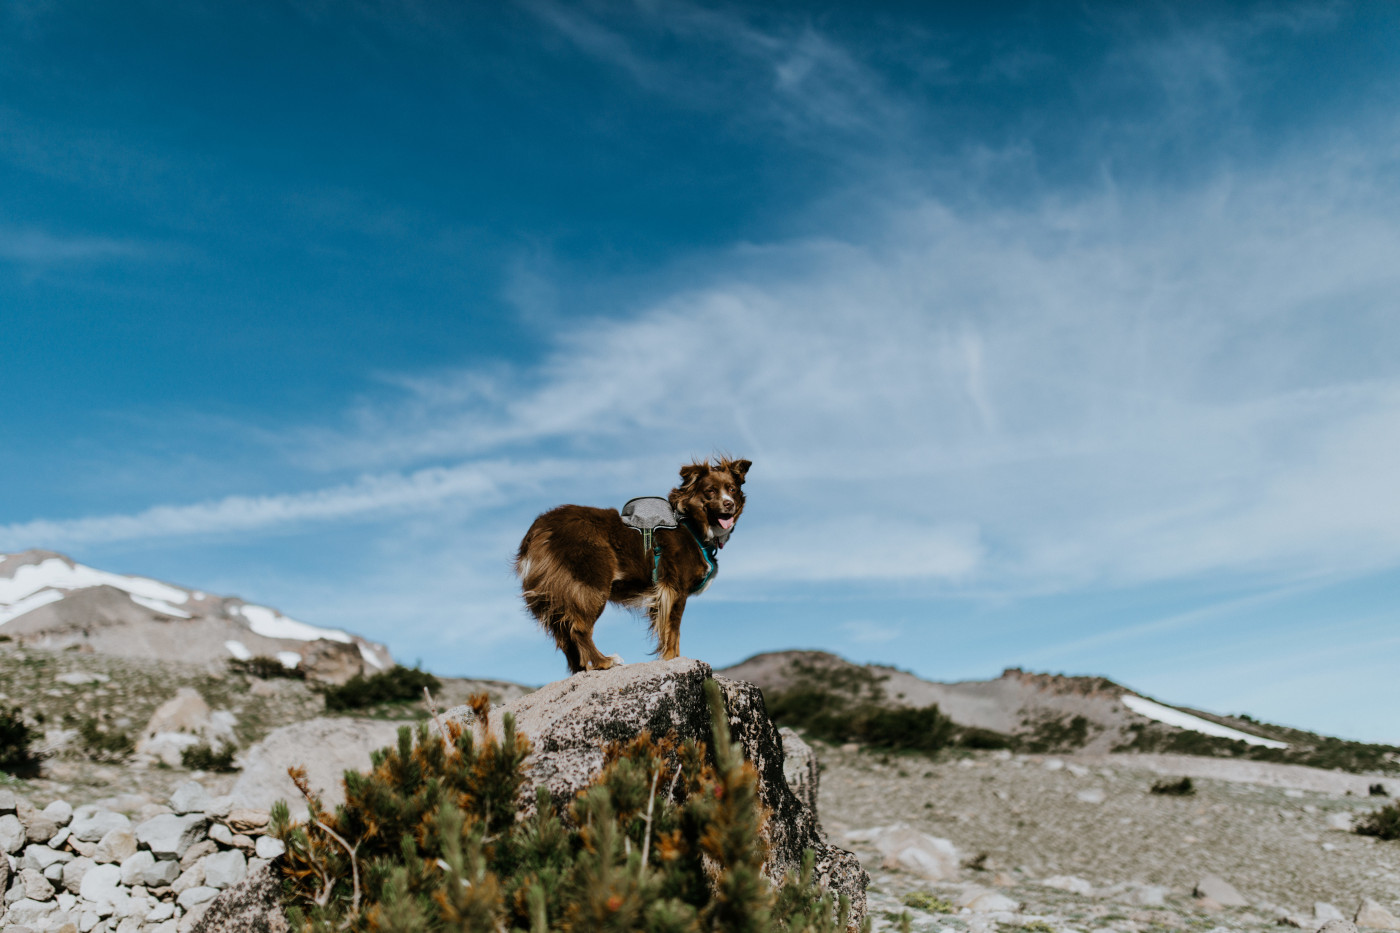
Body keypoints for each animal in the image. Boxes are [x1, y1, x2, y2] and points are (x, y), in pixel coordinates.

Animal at [518, 456, 756, 669]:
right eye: (710, 491)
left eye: (732, 489)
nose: (729, 504)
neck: (693, 525)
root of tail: (539, 528)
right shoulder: (675, 589)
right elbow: (673, 630)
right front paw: (673, 659)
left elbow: (671, 632)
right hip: (591, 582)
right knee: (578, 628)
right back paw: (603, 662)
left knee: (564, 636)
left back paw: (581, 668)